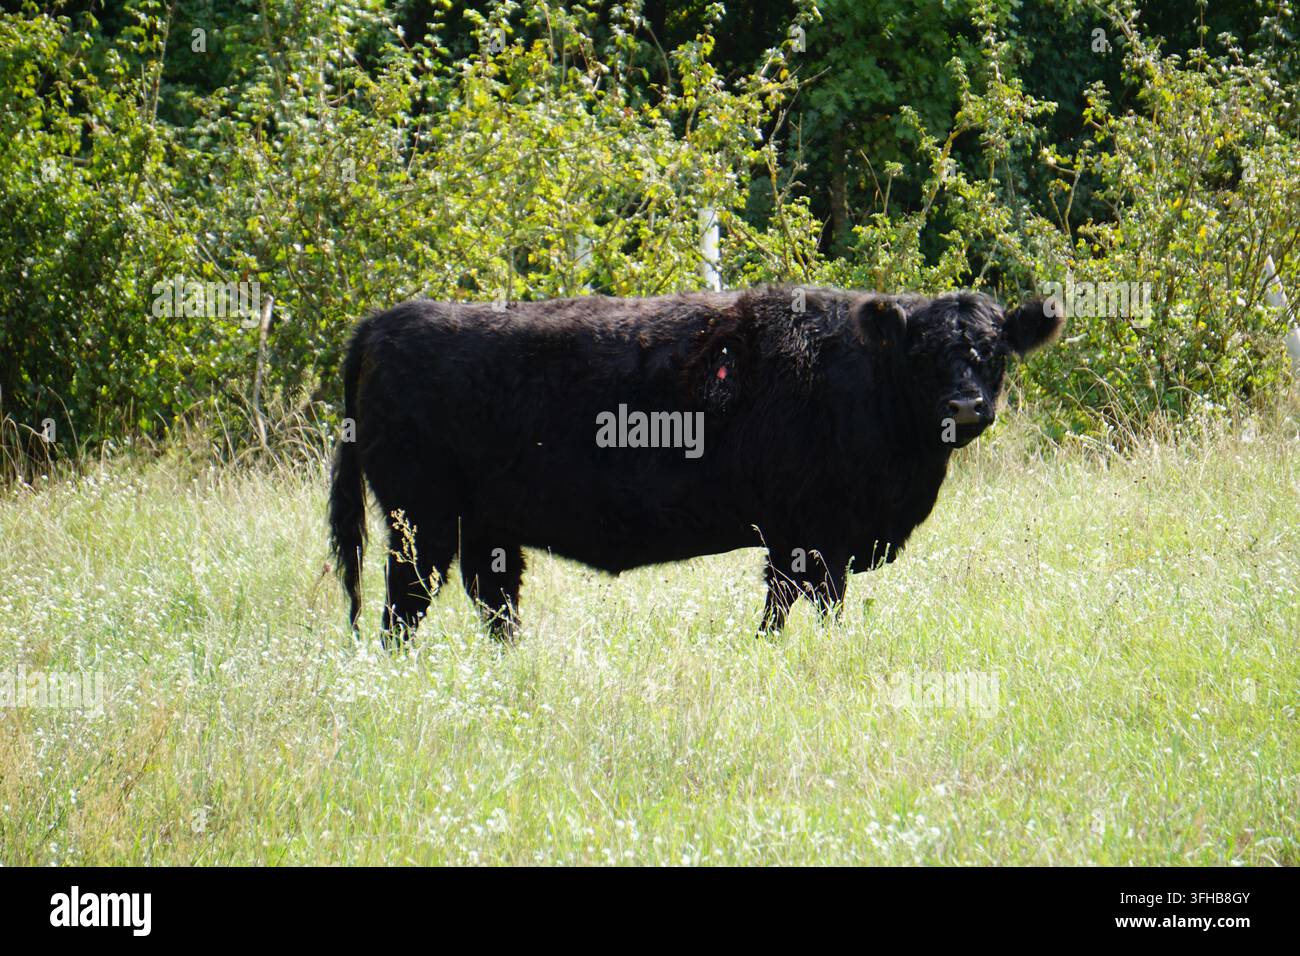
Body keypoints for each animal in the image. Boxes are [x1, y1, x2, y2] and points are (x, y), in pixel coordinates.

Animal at [328, 286, 1062, 642]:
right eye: (923, 355)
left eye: (996, 351)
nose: (966, 406)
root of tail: (384, 321)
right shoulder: (812, 538)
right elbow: (800, 605)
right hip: (420, 526)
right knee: (404, 610)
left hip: (486, 531)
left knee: (495, 606)